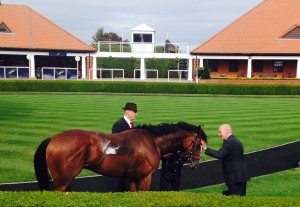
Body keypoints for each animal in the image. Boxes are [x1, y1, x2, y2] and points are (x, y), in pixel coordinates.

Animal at [32, 122, 206, 192]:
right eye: (198, 144)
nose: (196, 164)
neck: (151, 141)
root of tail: (53, 138)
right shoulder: (145, 176)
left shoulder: (133, 177)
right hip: (61, 181)